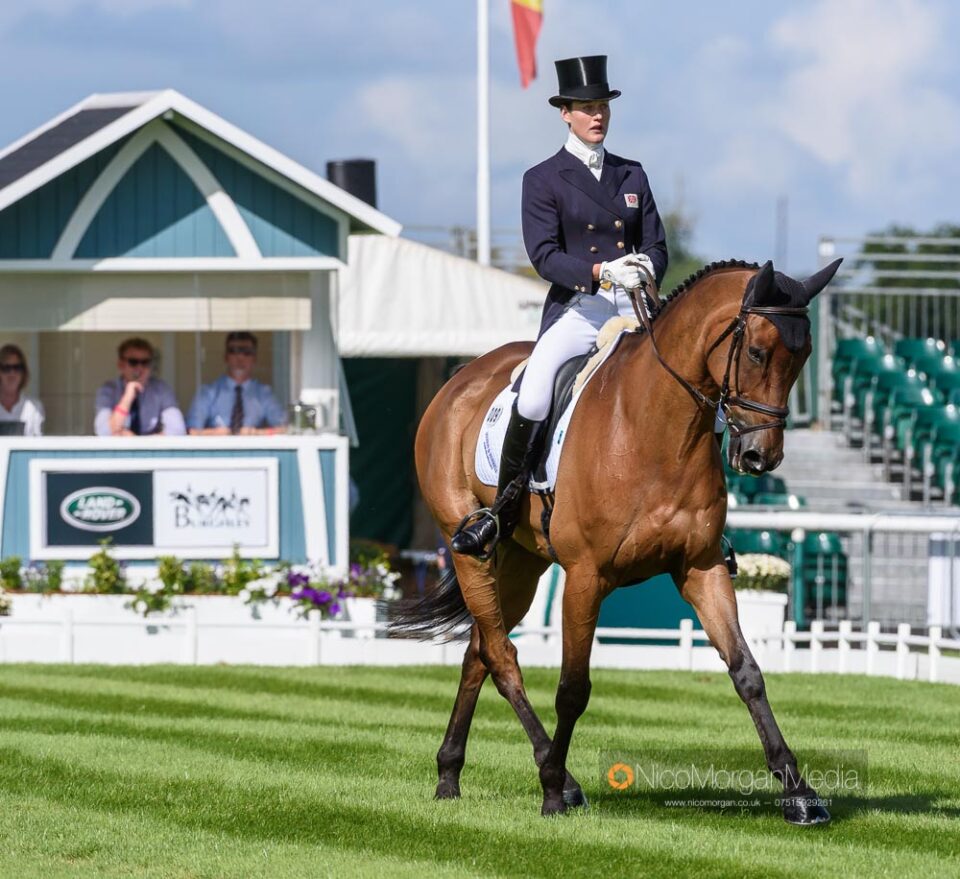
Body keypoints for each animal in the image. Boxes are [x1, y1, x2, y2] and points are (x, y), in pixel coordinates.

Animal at [392, 258, 842, 825]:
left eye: (802, 356)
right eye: (758, 351)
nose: (761, 456)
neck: (658, 429)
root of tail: (460, 381)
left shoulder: (701, 566)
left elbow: (747, 672)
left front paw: (799, 794)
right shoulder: (586, 577)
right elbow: (573, 688)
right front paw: (552, 791)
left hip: (520, 561)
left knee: (480, 651)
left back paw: (449, 775)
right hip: (470, 547)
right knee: (501, 655)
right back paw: (558, 779)